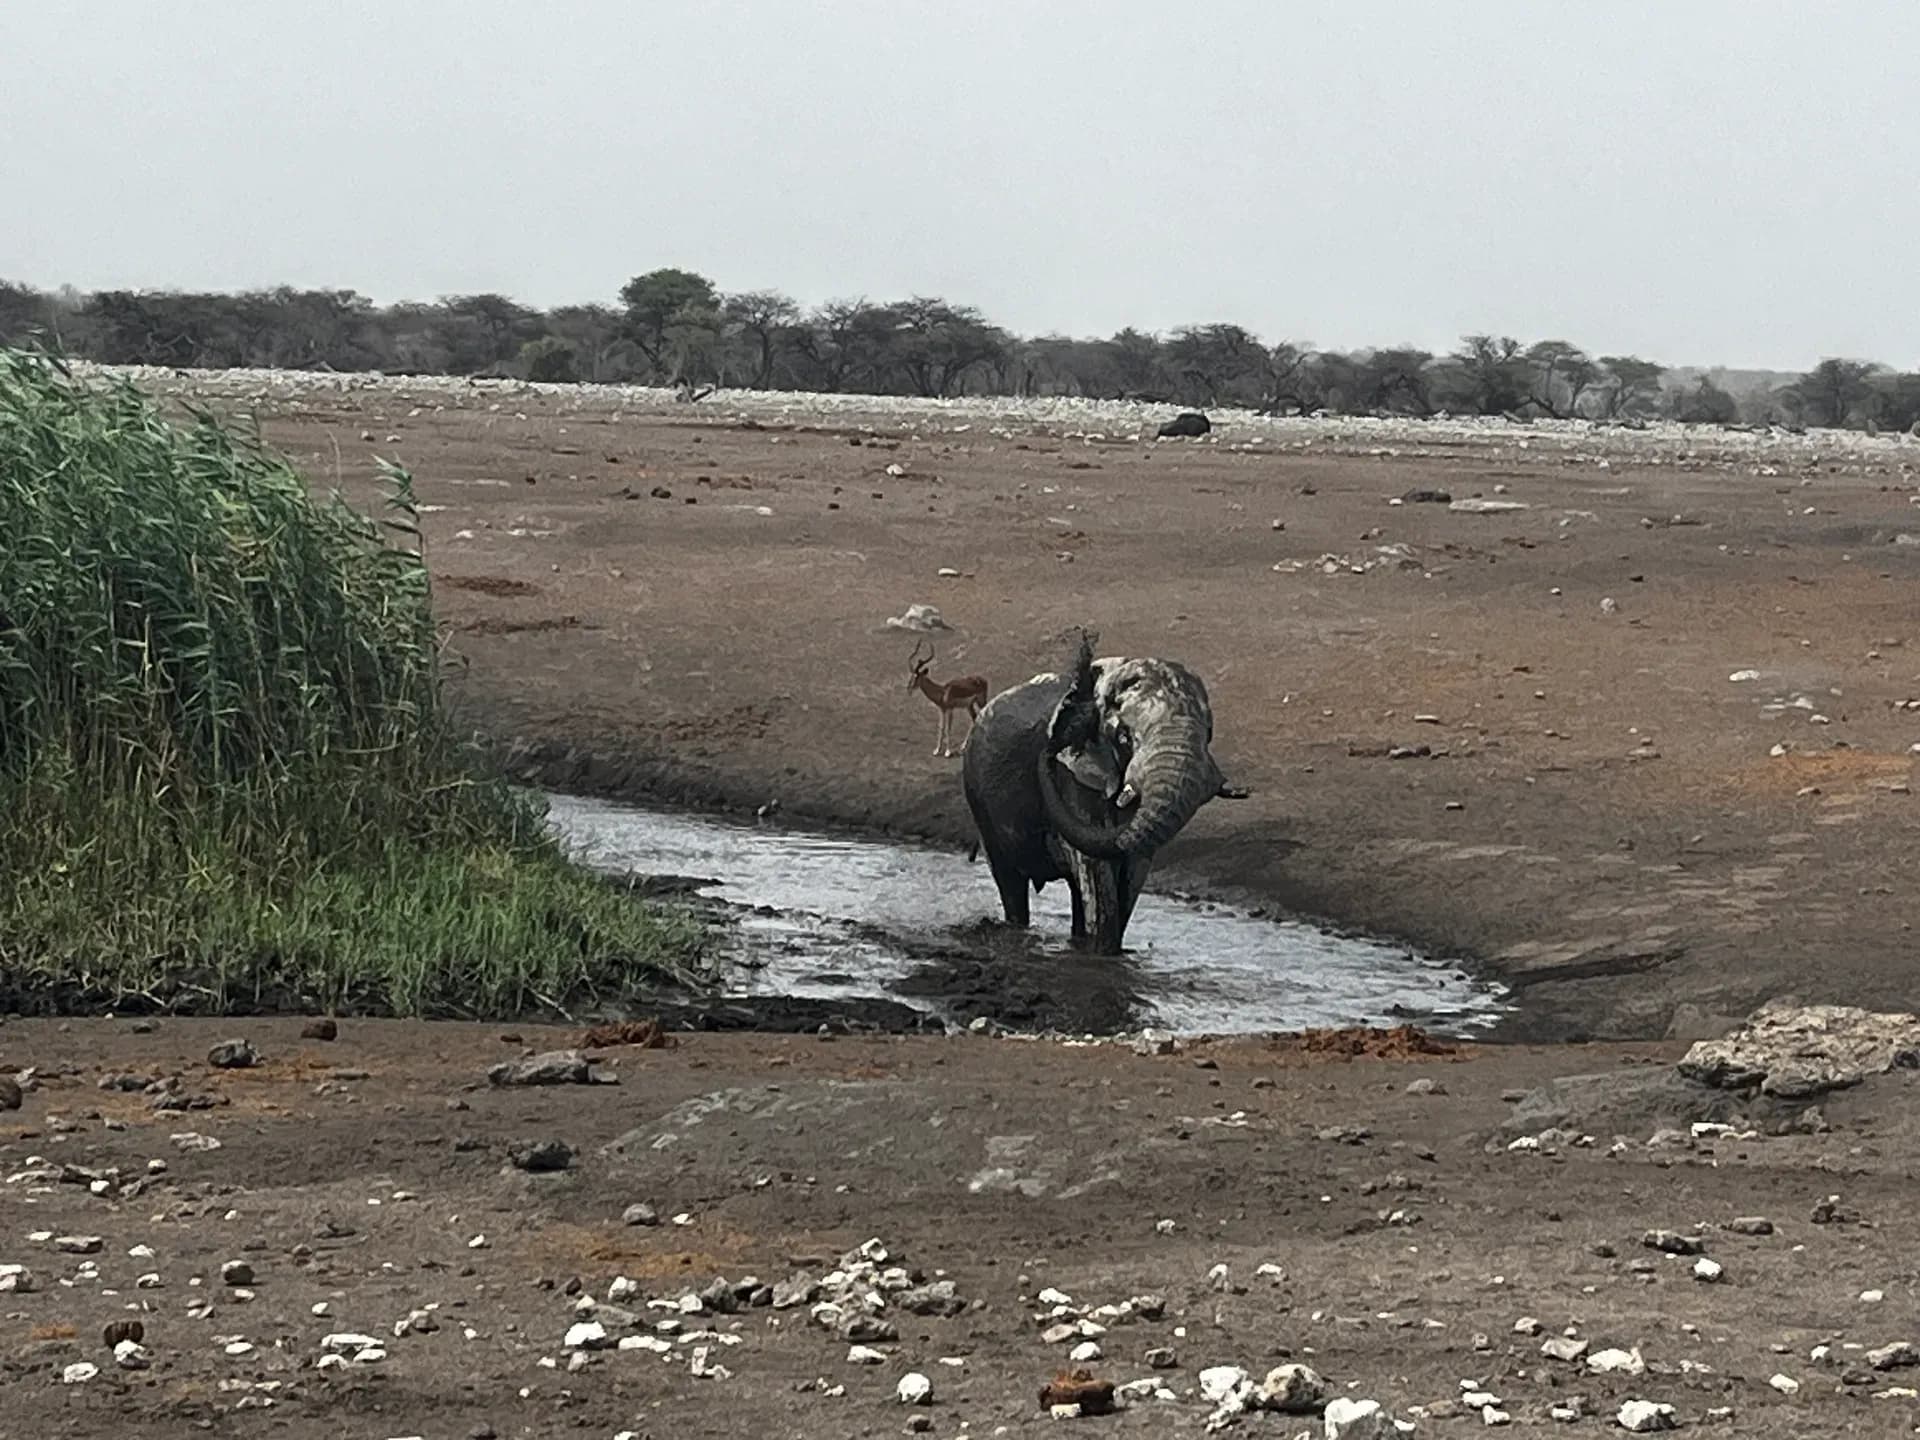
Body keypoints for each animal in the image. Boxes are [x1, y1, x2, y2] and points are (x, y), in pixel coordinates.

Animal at [961, 632, 1248, 954]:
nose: (1047, 750)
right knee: (1011, 884)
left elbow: (1131, 873)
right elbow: (1098, 877)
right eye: (1123, 737)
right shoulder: (1072, 778)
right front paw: (1102, 956)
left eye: (1209, 732)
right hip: (979, 798)